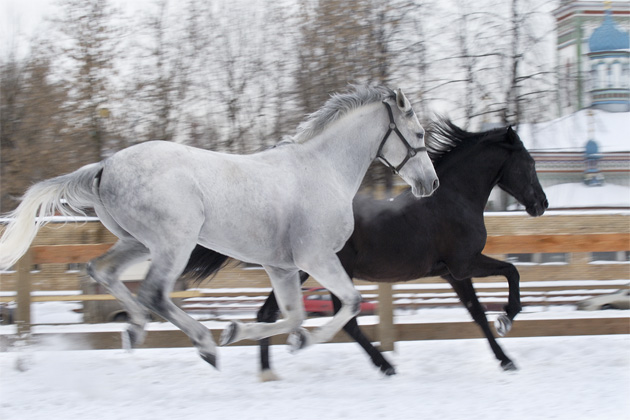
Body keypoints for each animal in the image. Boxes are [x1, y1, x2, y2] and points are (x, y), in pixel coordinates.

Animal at [0, 85, 439, 368]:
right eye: (418, 133)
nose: (430, 183)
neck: (323, 170)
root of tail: (104, 166)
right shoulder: (316, 258)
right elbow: (350, 303)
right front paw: (297, 342)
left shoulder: (281, 267)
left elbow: (293, 315)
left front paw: (242, 331)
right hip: (175, 242)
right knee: (153, 293)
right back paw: (204, 344)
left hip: (139, 242)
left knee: (102, 271)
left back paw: (136, 332)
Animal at [184, 119, 548, 379]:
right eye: (530, 163)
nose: (541, 205)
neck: (452, 199)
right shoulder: (465, 264)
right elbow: (511, 273)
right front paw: (507, 323)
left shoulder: (452, 274)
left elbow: (477, 312)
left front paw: (504, 355)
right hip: (324, 270)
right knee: (344, 320)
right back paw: (384, 366)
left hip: (300, 272)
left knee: (271, 312)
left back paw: (267, 371)